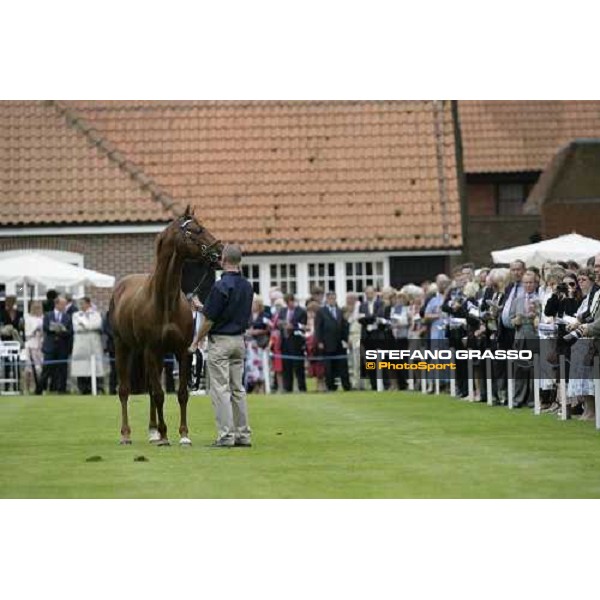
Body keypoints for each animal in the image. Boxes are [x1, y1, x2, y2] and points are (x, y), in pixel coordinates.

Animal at [109, 206, 221, 446]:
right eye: (196, 230)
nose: (220, 250)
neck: (165, 302)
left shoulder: (182, 351)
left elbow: (181, 394)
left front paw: (183, 435)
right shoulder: (152, 350)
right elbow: (160, 394)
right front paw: (165, 435)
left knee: (151, 389)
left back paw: (153, 432)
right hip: (124, 347)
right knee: (125, 390)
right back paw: (127, 434)